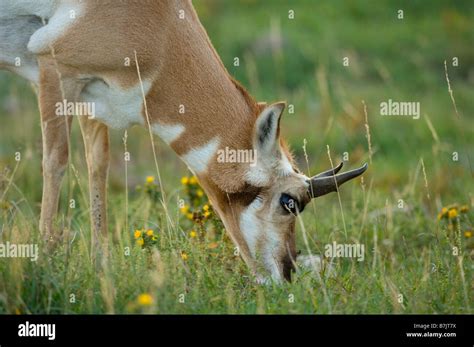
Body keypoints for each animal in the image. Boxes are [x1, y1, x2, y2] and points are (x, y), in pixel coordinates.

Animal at [0, 0, 366, 282]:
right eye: (289, 201)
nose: (287, 274)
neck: (161, 27)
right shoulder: (56, 71)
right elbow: (56, 160)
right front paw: (43, 259)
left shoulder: (92, 100)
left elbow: (97, 167)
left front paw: (100, 266)